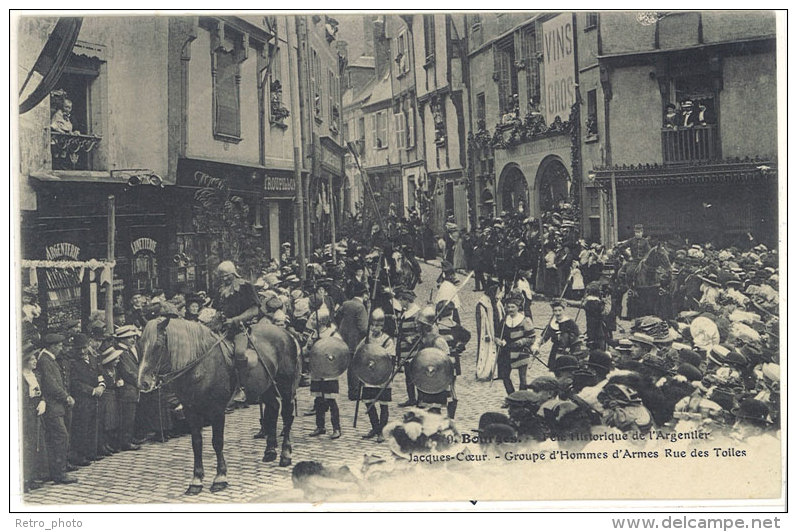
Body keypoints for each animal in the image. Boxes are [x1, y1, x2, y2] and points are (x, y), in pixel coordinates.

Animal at [138, 316, 300, 494]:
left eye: (158, 346)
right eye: (139, 346)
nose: (143, 383)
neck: (199, 367)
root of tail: (285, 333)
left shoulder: (217, 411)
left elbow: (217, 442)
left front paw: (220, 478)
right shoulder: (191, 411)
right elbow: (196, 443)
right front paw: (196, 480)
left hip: (285, 386)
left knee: (287, 415)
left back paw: (285, 455)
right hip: (266, 387)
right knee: (273, 409)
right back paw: (270, 451)